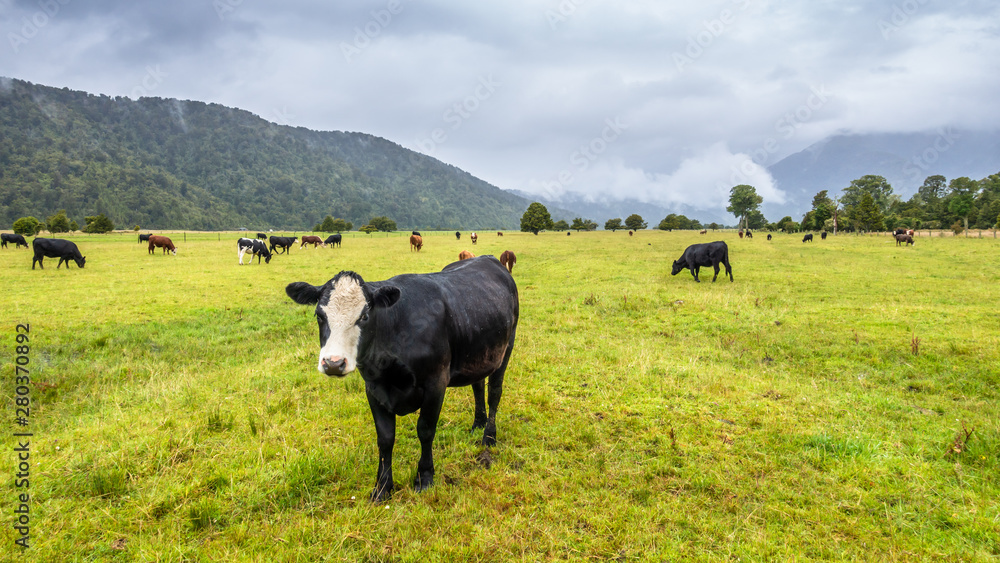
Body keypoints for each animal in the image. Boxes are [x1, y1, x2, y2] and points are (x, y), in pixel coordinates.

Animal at [282, 256, 516, 502]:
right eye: (320, 315)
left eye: (364, 316)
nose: (333, 363)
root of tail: (488, 259)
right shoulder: (374, 389)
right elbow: (385, 438)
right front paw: (383, 487)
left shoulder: (436, 384)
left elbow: (425, 430)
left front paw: (424, 477)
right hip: (479, 354)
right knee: (478, 385)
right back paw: (478, 423)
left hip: (505, 350)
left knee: (494, 393)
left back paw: (489, 436)